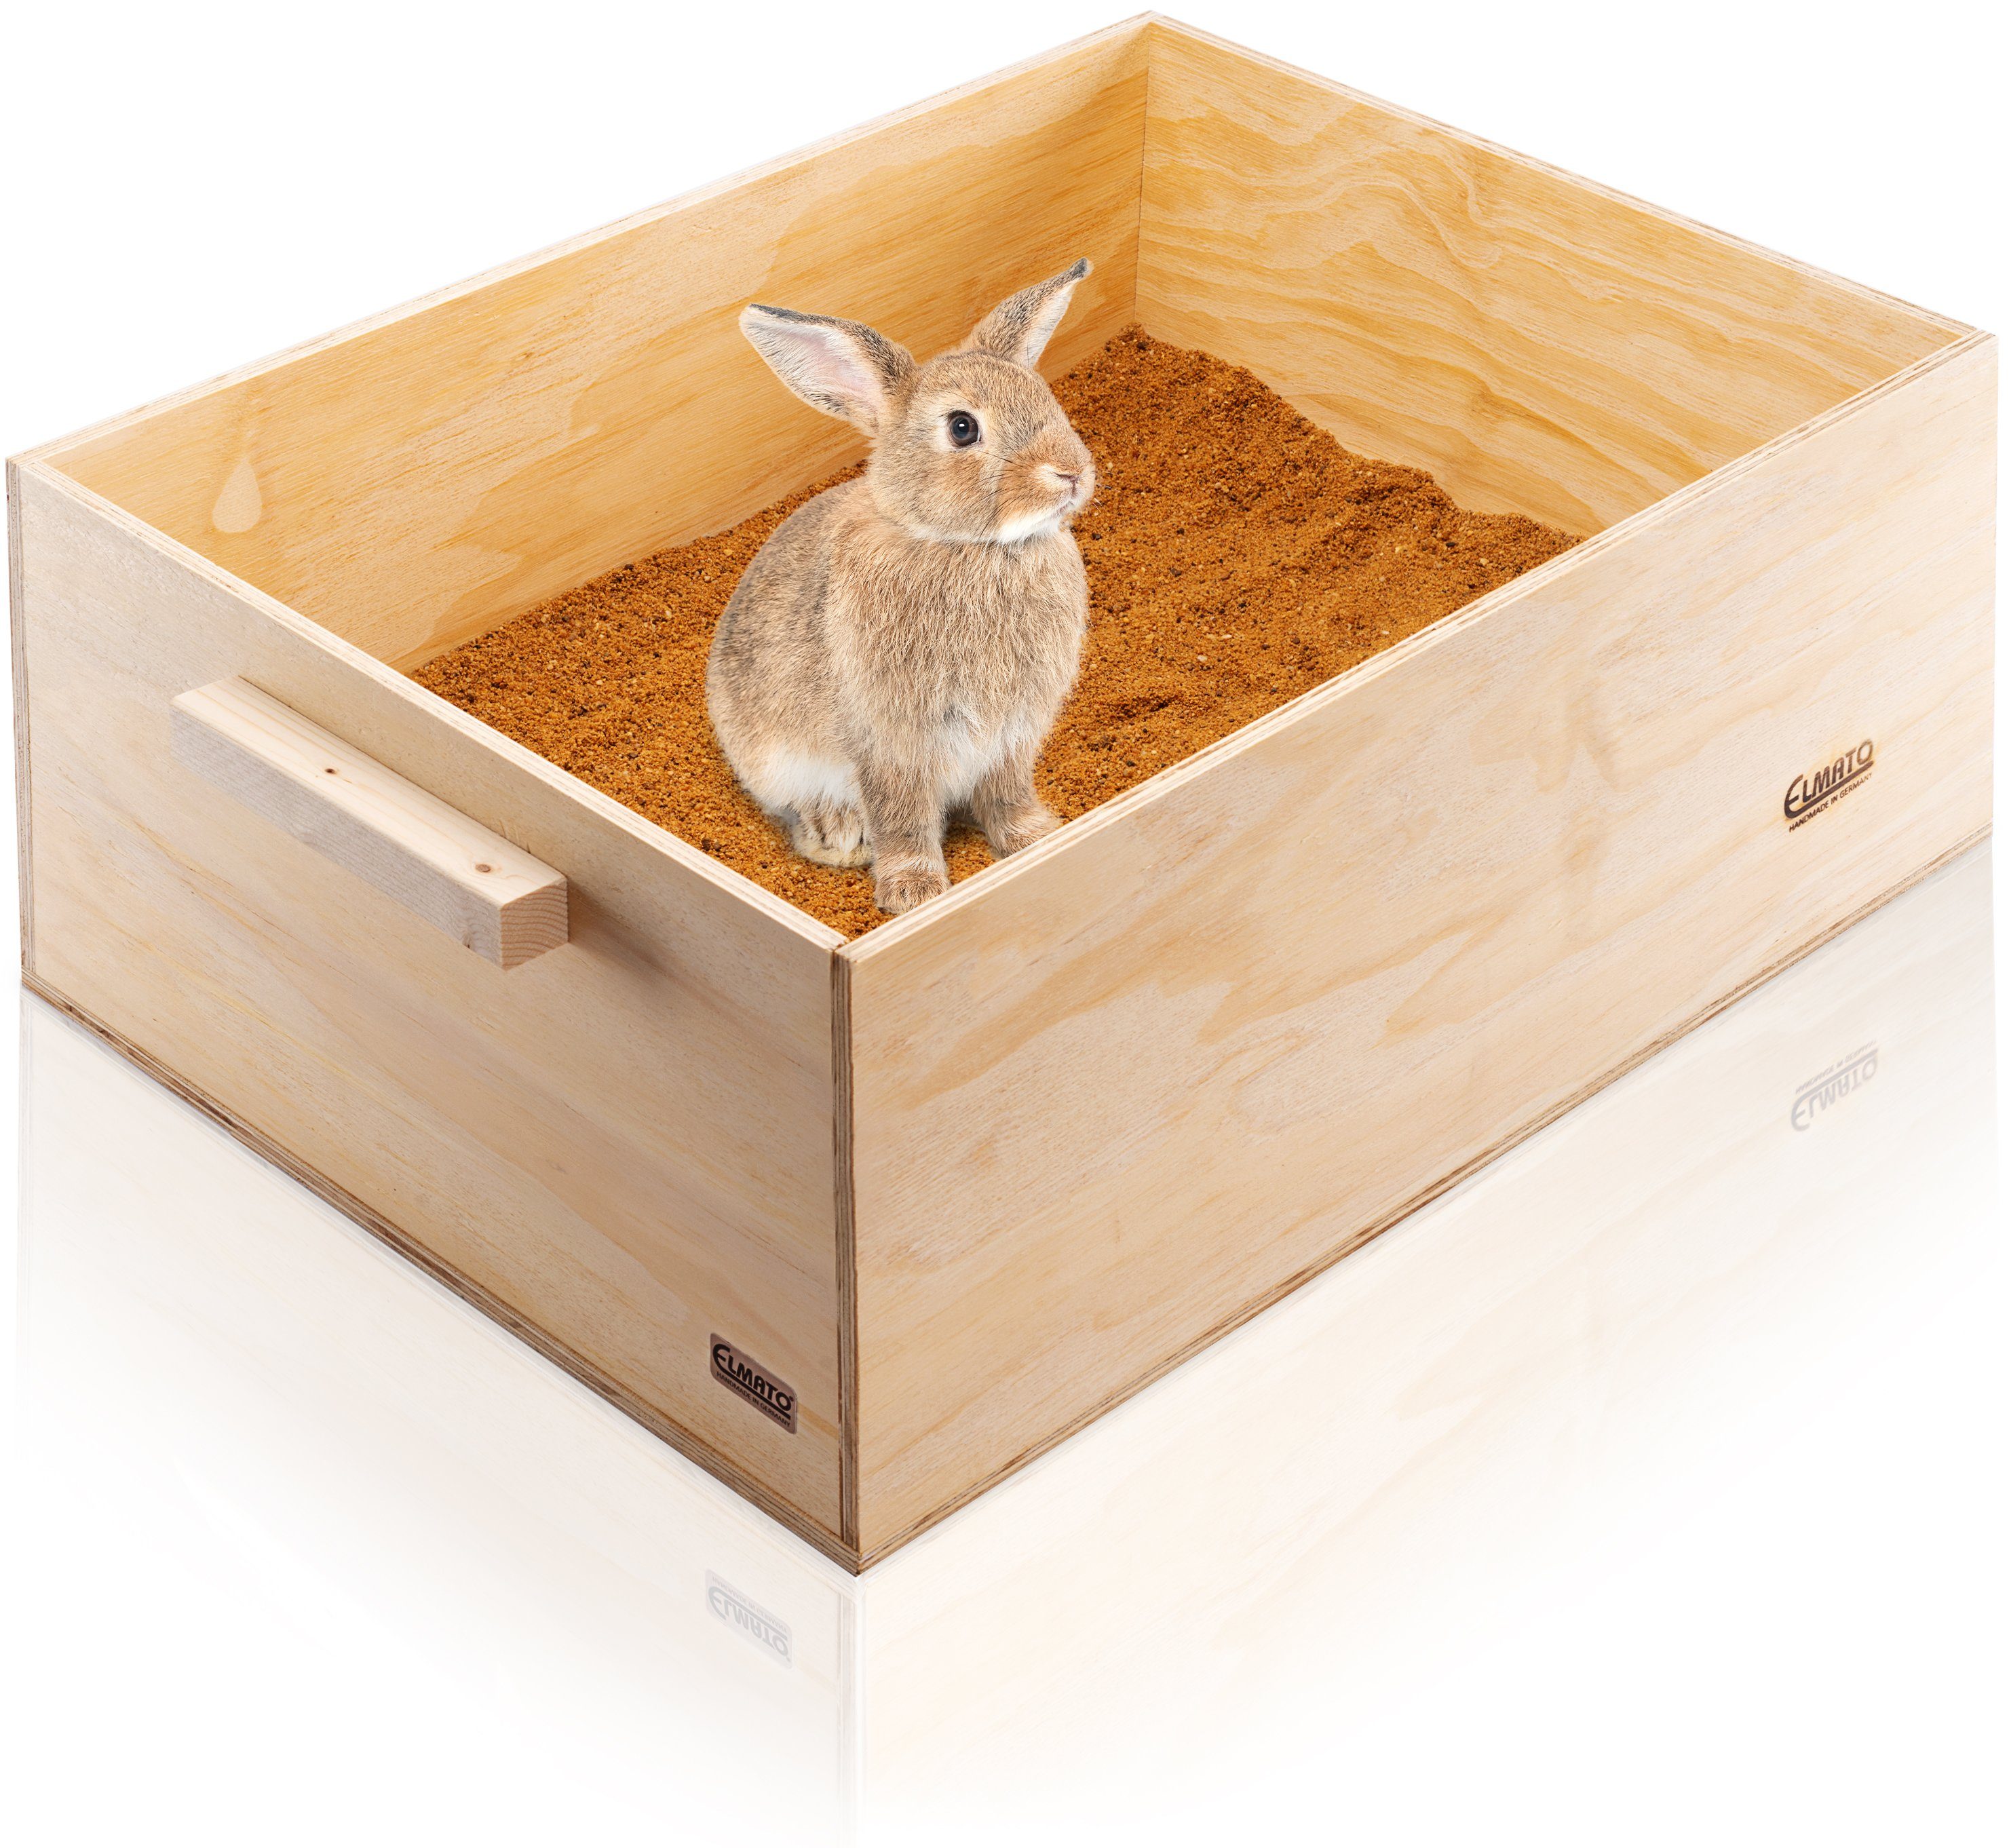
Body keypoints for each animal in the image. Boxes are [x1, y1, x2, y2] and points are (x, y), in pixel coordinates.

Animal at [707, 260, 1096, 916]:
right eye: (962, 428)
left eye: (1045, 397)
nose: (1070, 473)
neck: (969, 547)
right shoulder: (894, 740)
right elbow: (904, 815)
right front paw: (913, 894)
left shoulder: (1012, 735)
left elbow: (1007, 794)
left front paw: (1037, 840)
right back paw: (837, 837)